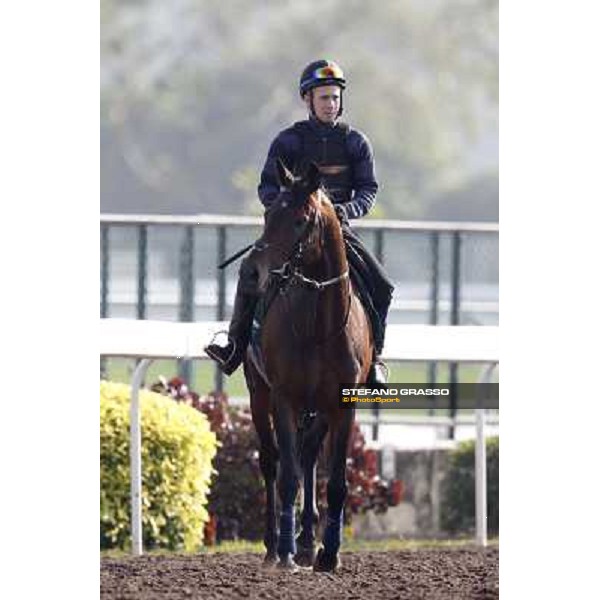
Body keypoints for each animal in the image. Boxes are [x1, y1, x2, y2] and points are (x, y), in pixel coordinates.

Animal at [241, 158, 372, 572]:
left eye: (300, 220)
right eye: (268, 213)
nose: (251, 272)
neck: (320, 326)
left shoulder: (343, 403)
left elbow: (337, 480)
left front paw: (328, 553)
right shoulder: (283, 396)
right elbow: (287, 476)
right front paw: (284, 552)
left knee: (309, 454)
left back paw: (307, 540)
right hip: (258, 392)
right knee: (272, 461)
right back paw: (274, 546)